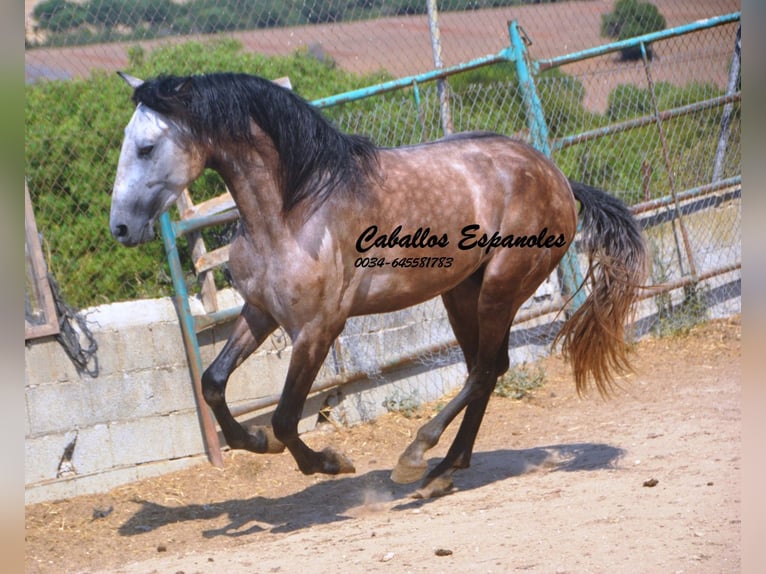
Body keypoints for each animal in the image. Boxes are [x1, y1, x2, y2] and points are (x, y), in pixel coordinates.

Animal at [110, 71, 647, 498]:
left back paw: (416, 458)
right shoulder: (261, 312)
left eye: (146, 147)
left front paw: (329, 462)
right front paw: (256, 442)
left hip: (501, 288)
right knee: (490, 369)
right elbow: (214, 383)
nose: (119, 228)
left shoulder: (318, 329)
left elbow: (285, 416)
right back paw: (444, 470)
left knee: (483, 370)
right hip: (461, 292)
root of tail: (557, 177)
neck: (295, 209)